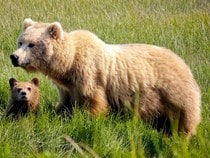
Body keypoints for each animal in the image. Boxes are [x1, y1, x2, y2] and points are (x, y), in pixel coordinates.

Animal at [9, 18, 200, 136]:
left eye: (32, 44)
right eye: (20, 42)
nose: (14, 57)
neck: (68, 64)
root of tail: (183, 62)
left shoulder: (89, 74)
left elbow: (93, 100)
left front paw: (90, 120)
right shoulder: (67, 86)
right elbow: (66, 103)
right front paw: (59, 114)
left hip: (172, 91)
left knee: (185, 116)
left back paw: (182, 136)